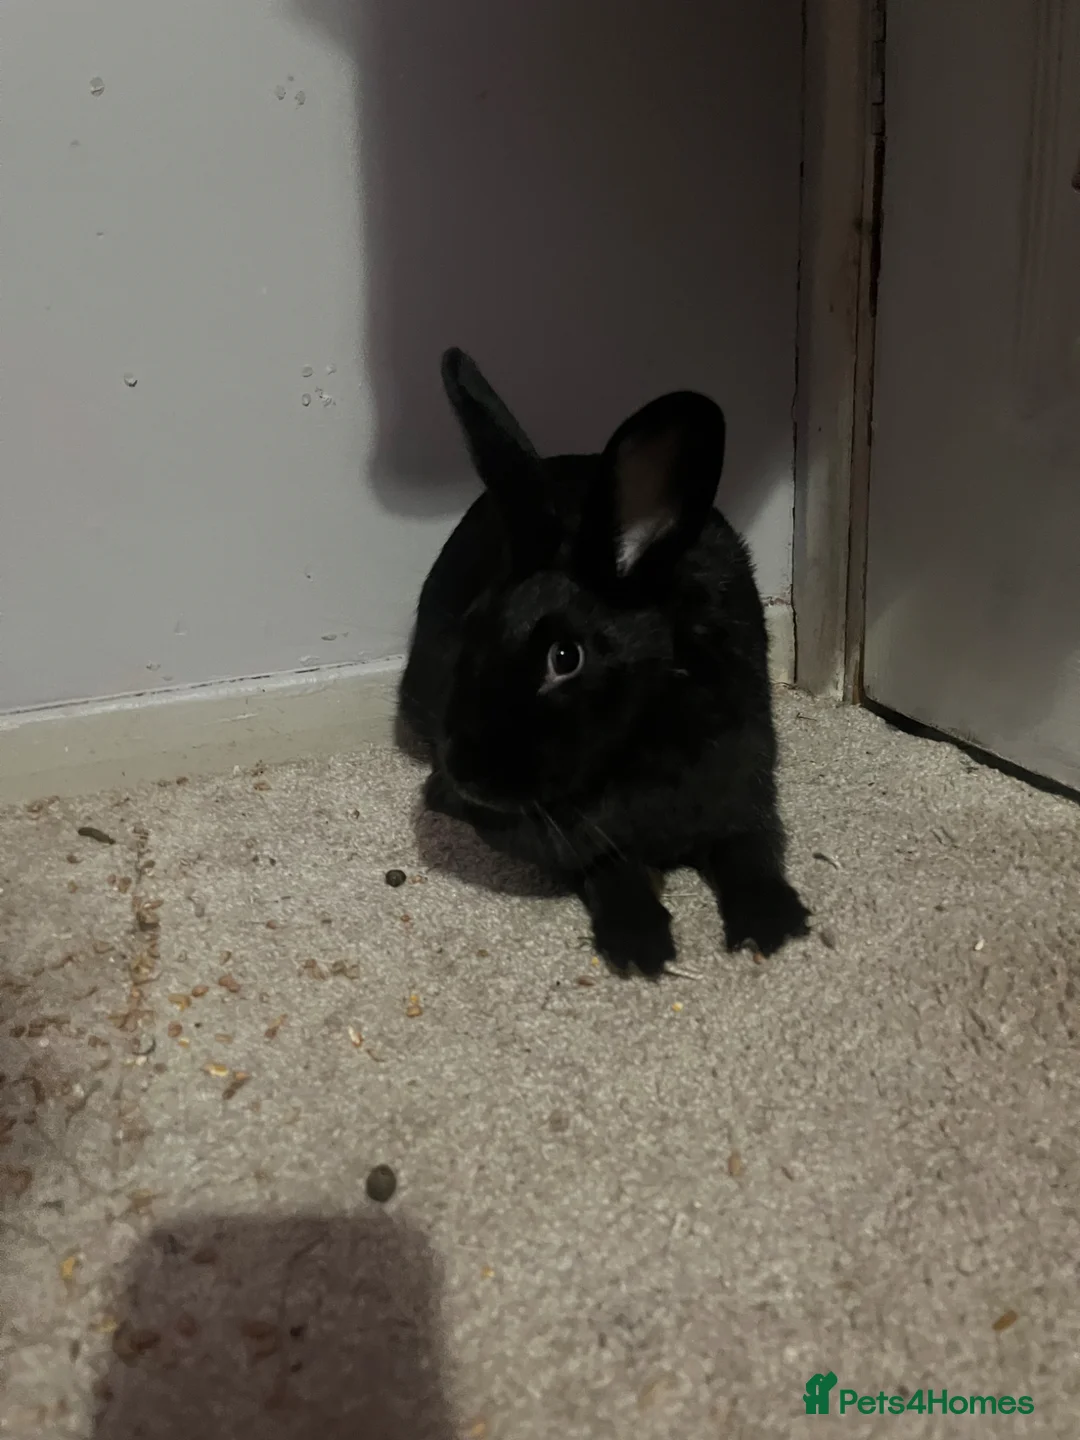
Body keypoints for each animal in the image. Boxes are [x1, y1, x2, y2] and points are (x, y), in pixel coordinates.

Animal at [398, 348, 810, 976]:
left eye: (565, 658)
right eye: (473, 626)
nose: (466, 773)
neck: (641, 738)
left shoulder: (745, 788)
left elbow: (752, 849)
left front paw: (772, 923)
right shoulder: (586, 845)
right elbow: (610, 873)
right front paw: (639, 944)